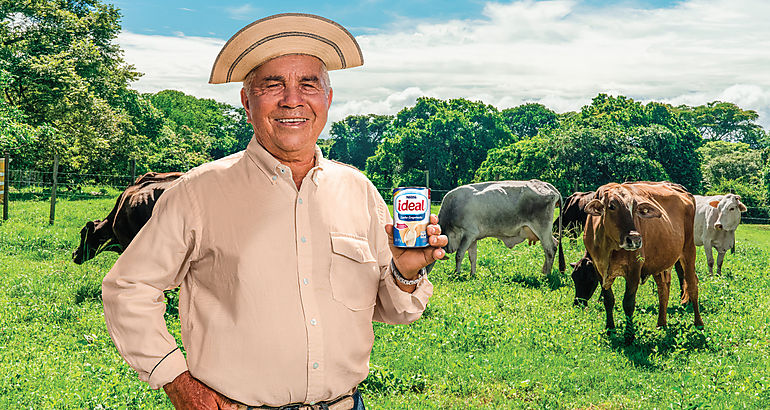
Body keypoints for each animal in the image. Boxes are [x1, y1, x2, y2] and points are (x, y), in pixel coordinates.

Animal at [436, 181, 568, 278]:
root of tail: (547, 185)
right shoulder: (473, 238)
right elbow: (472, 257)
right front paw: (472, 274)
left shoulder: (468, 234)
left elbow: (459, 255)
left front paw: (456, 274)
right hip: (543, 232)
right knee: (554, 244)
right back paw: (544, 270)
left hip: (542, 229)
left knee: (550, 249)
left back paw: (547, 275)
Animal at [576, 182, 704, 334]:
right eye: (612, 206)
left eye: (636, 209)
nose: (634, 239)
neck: (607, 246)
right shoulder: (599, 269)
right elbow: (608, 299)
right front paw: (610, 328)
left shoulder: (634, 269)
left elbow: (628, 303)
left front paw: (629, 335)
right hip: (659, 263)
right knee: (663, 290)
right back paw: (661, 323)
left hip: (689, 251)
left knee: (692, 285)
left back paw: (698, 323)